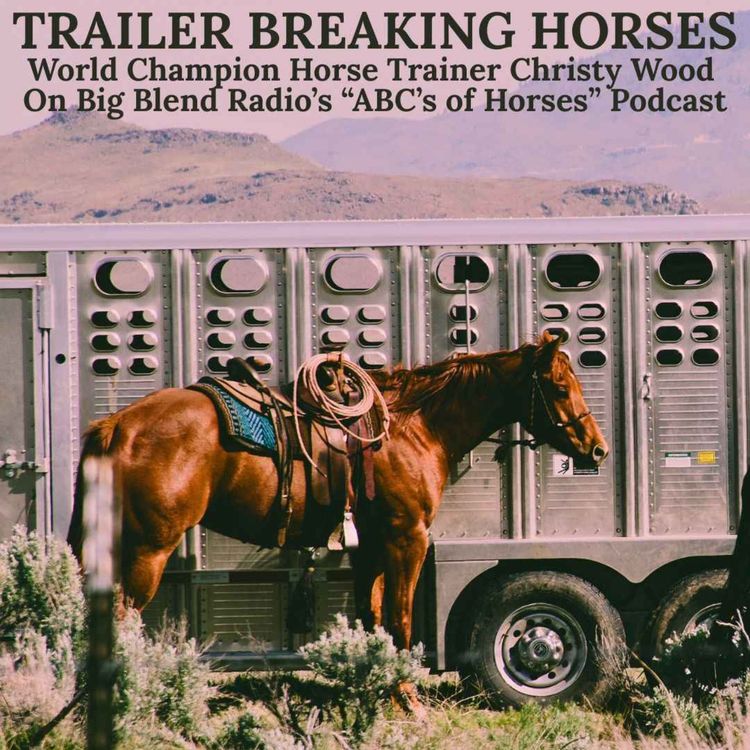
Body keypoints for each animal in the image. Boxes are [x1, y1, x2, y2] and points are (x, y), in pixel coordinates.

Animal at [67, 331, 607, 668]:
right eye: (560, 387)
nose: (597, 448)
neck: (413, 428)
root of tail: (117, 427)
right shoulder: (407, 538)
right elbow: (401, 619)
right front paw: (409, 701)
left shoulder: (370, 545)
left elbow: (373, 618)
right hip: (148, 551)